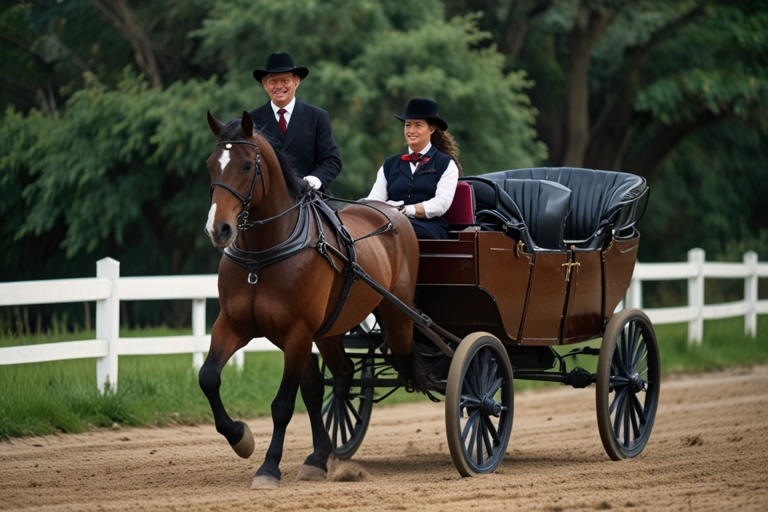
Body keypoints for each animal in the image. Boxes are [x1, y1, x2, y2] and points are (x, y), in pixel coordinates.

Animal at [200, 111, 438, 488]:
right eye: (211, 165)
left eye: (246, 166)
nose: (218, 229)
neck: (261, 258)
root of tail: (395, 212)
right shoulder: (234, 324)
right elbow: (209, 377)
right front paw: (241, 437)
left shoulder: (297, 333)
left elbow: (283, 404)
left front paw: (268, 467)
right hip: (328, 331)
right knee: (340, 377)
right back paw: (320, 455)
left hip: (395, 315)